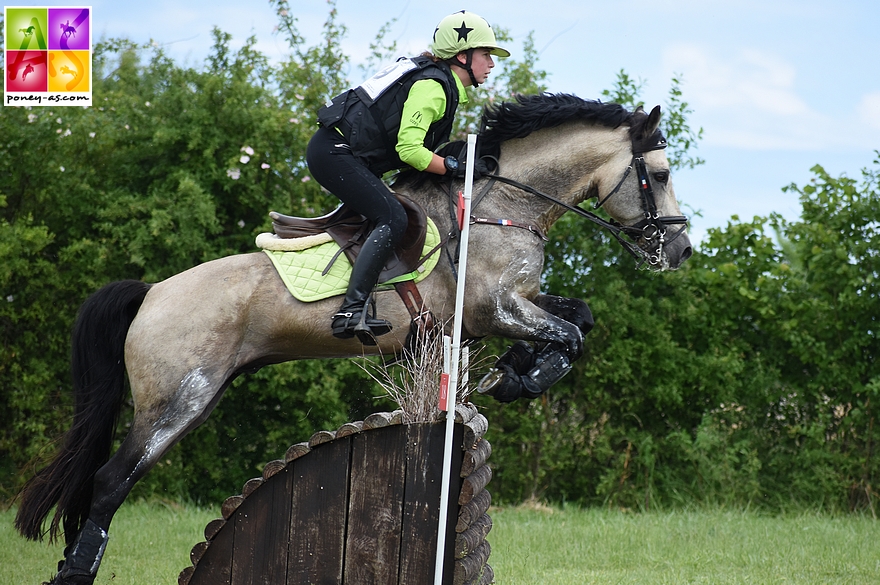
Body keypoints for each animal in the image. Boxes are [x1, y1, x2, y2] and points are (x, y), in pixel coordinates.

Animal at [10, 93, 692, 580]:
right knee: (110, 482)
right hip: (177, 399)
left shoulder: (509, 306)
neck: (502, 207)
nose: (682, 251)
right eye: (658, 175)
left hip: (198, 396)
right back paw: (76, 572)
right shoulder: (494, 307)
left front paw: (522, 368)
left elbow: (579, 315)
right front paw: (521, 376)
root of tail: (152, 292)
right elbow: (570, 334)